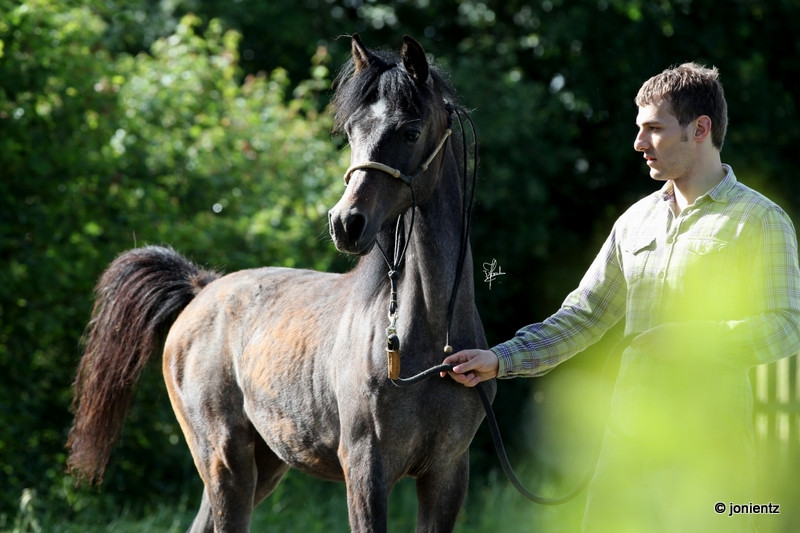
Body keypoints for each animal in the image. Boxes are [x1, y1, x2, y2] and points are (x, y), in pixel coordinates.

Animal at [67, 34, 494, 532]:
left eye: (411, 131)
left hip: (264, 462)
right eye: (351, 132)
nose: (346, 223)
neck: (424, 341)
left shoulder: (446, 474)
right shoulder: (366, 469)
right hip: (225, 461)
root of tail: (202, 287)